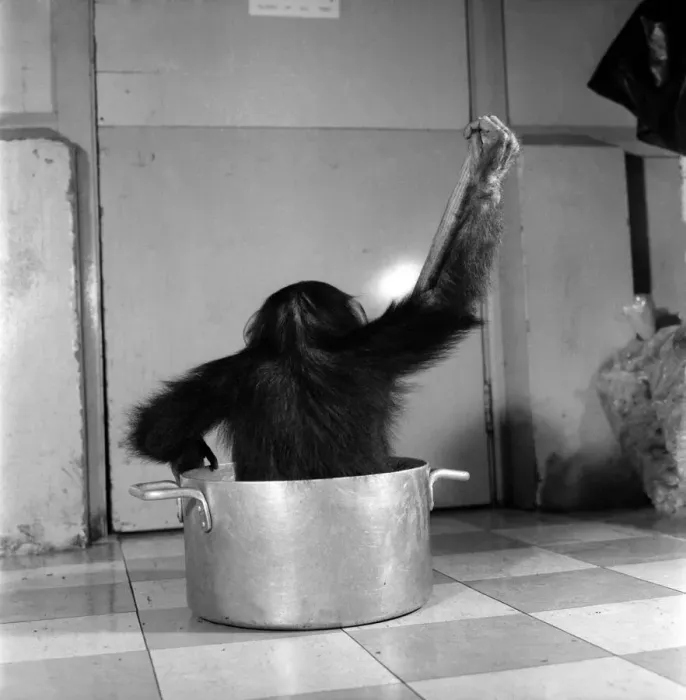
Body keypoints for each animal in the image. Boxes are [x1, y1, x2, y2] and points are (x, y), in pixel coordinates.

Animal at [126, 115, 520, 481]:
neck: (298, 339)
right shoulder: (379, 347)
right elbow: (446, 302)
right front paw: (489, 173)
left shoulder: (228, 372)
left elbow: (159, 428)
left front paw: (487, 170)